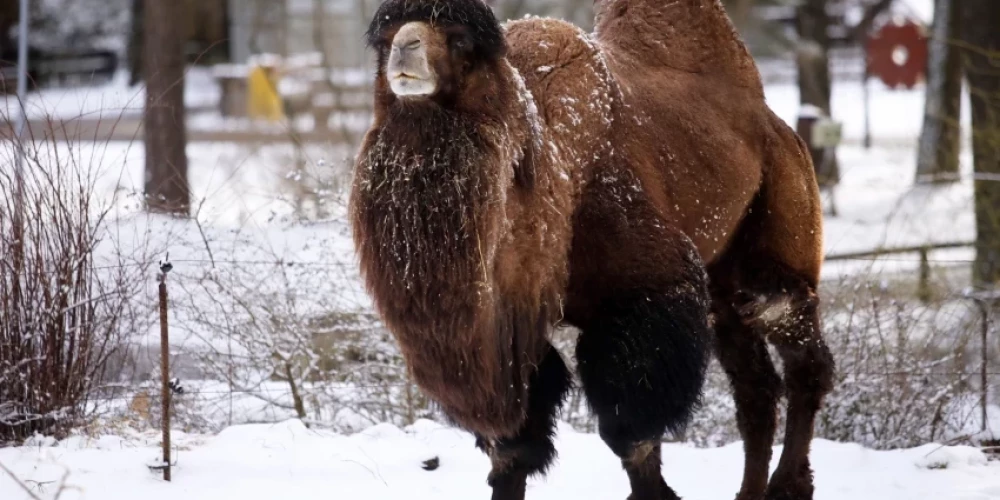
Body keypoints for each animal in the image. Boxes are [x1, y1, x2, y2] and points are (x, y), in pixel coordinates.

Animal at [348, 0, 832, 500]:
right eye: (384, 39)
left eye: (460, 40)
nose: (405, 49)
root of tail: (775, 124)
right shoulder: (509, 332)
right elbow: (514, 447)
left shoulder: (646, 293)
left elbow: (631, 436)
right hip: (724, 287)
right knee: (755, 388)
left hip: (782, 234)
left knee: (800, 353)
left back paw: (789, 484)